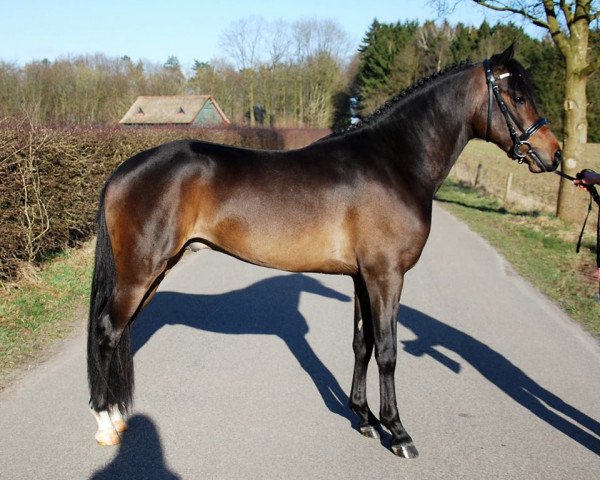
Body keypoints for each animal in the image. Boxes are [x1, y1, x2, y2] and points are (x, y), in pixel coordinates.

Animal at [88, 46, 564, 458]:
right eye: (518, 96)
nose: (554, 154)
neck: (394, 163)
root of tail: (122, 171)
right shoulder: (386, 275)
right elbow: (388, 351)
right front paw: (398, 432)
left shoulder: (361, 277)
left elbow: (362, 344)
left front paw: (364, 418)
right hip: (140, 273)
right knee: (108, 331)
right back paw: (106, 424)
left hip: (155, 272)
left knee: (118, 331)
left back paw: (117, 416)